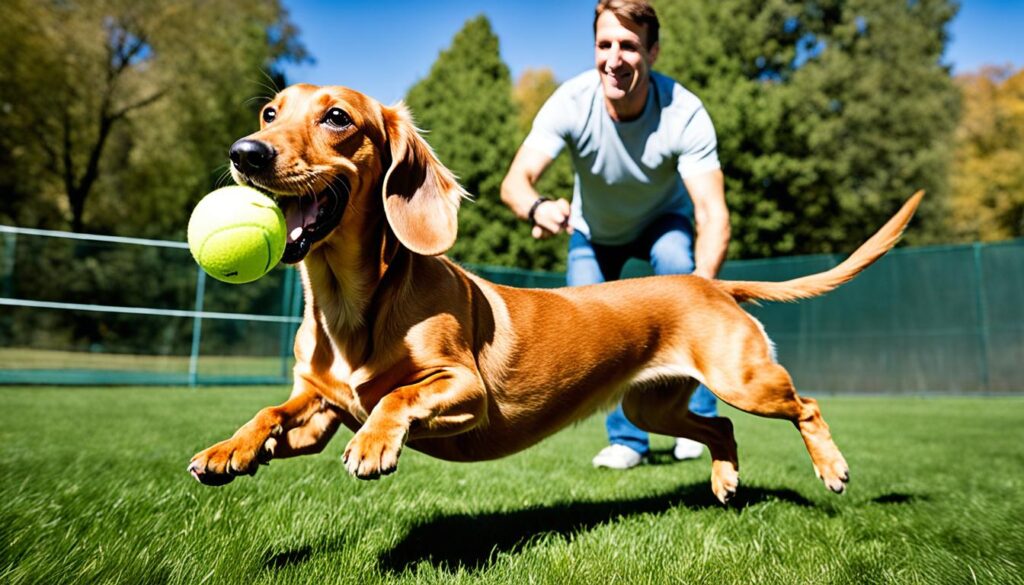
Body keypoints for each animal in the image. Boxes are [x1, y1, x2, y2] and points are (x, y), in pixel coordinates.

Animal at [188, 83, 925, 504]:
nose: (245, 152)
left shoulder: (464, 391)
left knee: (806, 405)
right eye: (270, 111)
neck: (348, 306)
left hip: (745, 379)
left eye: (337, 117)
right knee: (720, 427)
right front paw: (227, 450)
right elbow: (272, 412)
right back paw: (723, 477)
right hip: (652, 403)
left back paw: (832, 468)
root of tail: (706, 280)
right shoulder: (318, 408)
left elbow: (396, 397)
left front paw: (374, 445)